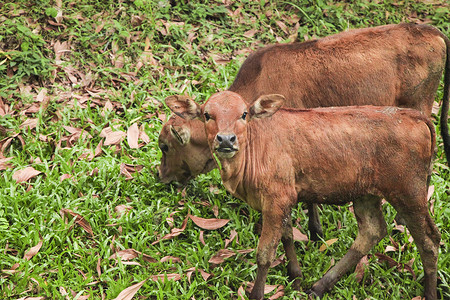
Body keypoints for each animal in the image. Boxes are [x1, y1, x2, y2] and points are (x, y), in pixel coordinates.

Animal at [165, 91, 440, 300]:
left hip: (408, 192)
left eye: (244, 114)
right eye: (207, 115)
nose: (225, 139)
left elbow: (264, 254)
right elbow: (287, 236)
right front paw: (295, 277)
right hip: (366, 194)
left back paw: (430, 293)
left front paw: (257, 294)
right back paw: (319, 286)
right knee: (372, 232)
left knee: (430, 241)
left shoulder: (276, 199)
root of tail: (415, 116)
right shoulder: (284, 199)